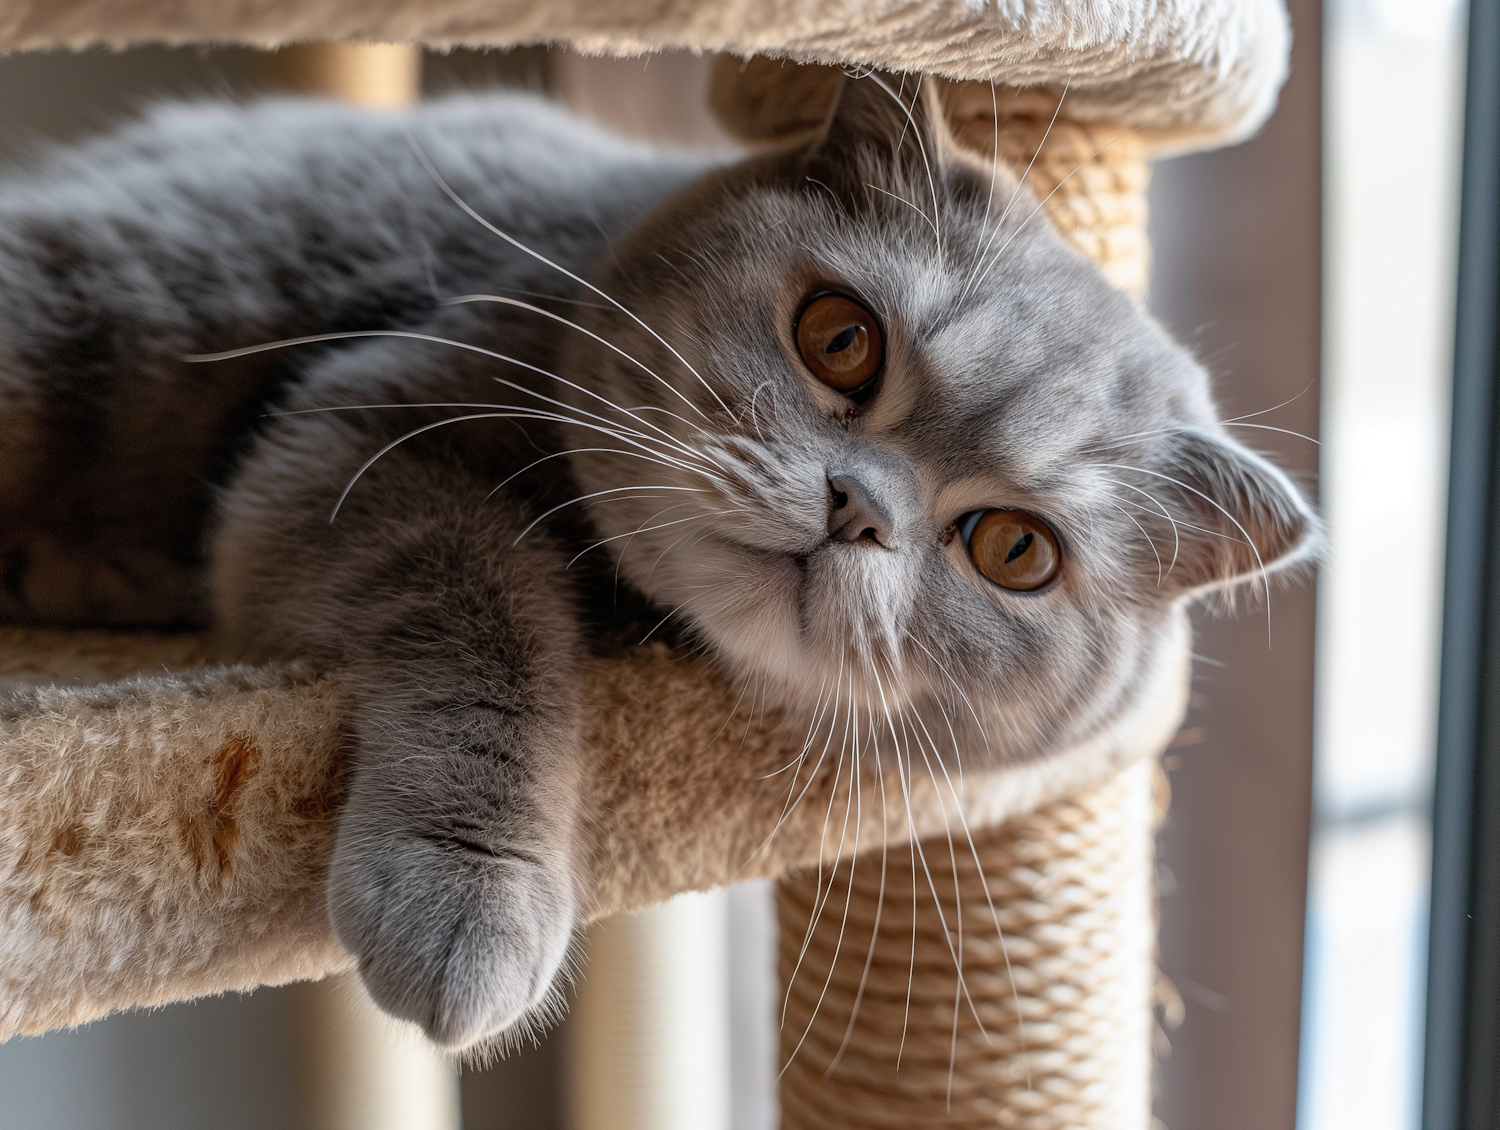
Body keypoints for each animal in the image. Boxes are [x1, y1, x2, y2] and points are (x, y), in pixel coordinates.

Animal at [0, 77, 1314, 1050]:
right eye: (840, 338)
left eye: (1014, 549)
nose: (856, 510)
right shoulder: (356, 439)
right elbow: (495, 618)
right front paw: (473, 890)